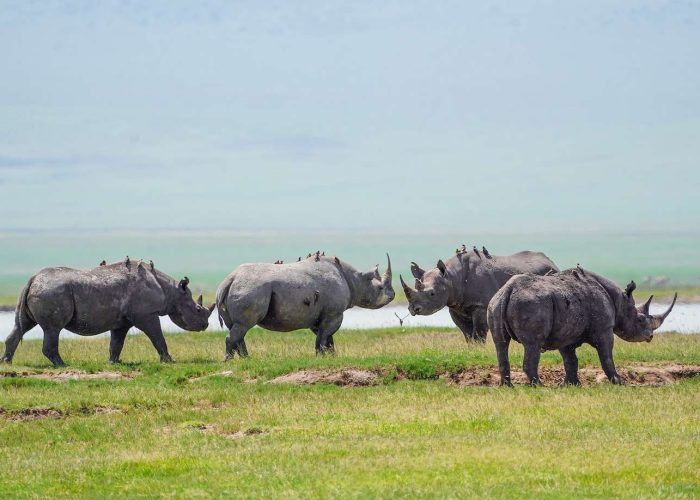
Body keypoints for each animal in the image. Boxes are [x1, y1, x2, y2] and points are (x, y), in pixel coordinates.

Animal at [1, 259, 215, 366]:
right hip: (52, 292)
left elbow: (117, 342)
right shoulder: (147, 314)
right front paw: (170, 361)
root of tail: (32, 279)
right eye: (197, 309)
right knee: (53, 329)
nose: (205, 325)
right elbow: (157, 337)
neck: (171, 292)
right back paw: (63, 365)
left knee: (23, 325)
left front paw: (114, 362)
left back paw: (6, 363)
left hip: (40, 291)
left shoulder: (122, 321)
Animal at [216, 254, 394, 358]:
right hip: (251, 289)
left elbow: (326, 337)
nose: (392, 295)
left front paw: (331, 356)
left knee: (237, 328)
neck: (355, 280)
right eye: (380, 288)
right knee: (243, 326)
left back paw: (246, 359)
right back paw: (230, 360)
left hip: (236, 289)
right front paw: (321, 357)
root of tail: (230, 279)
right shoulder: (334, 313)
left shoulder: (319, 315)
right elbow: (324, 336)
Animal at [400, 249, 559, 341]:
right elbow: (467, 333)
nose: (414, 309)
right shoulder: (455, 306)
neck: (451, 277)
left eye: (432, 293)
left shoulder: (480, 305)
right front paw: (471, 350)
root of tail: (552, 262)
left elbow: (479, 333)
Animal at [487, 268, 677, 386]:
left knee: (501, 343)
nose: (650, 336)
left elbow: (570, 359)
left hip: (495, 303)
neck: (621, 302)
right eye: (640, 320)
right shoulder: (604, 329)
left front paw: (571, 384)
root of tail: (508, 290)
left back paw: (507, 387)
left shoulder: (565, 331)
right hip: (532, 304)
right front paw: (620, 382)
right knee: (532, 344)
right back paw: (539, 386)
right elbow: (606, 356)